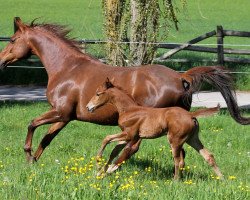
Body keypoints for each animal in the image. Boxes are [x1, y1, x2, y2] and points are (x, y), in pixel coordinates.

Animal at [86, 79, 223, 179]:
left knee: (178, 160)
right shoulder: (130, 136)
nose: (88, 107)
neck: (129, 110)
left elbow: (107, 139)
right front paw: (102, 171)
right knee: (208, 156)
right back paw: (222, 179)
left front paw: (98, 162)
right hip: (192, 139)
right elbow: (115, 150)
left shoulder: (129, 134)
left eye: (98, 94)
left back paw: (175, 181)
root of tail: (190, 115)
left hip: (175, 140)